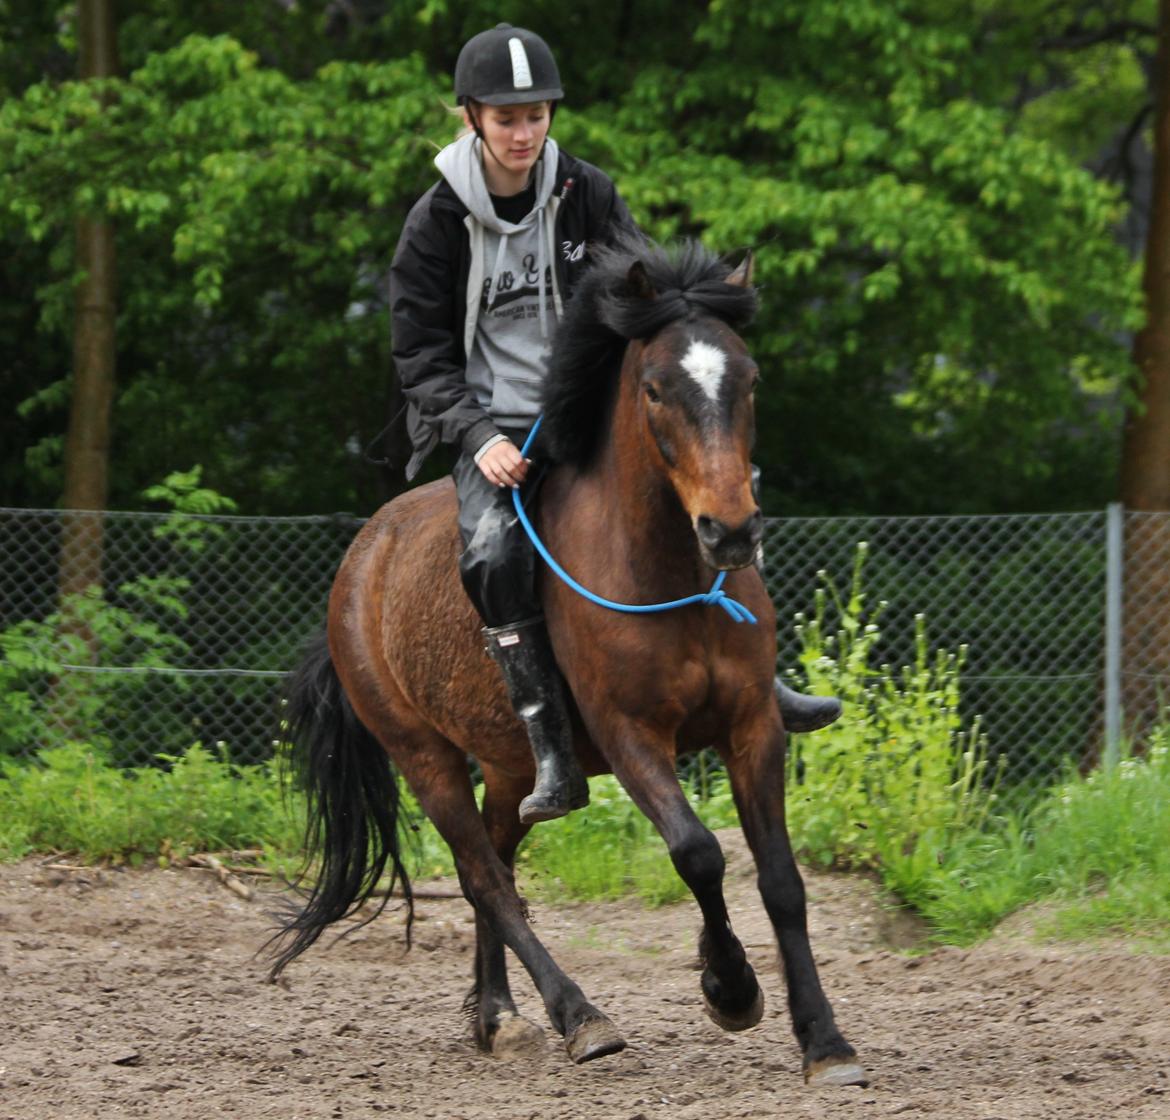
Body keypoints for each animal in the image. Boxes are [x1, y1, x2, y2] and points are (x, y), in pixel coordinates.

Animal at [269, 238, 865, 1086]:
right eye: (655, 389)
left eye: (749, 380)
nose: (730, 531)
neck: (666, 575)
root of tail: (361, 562)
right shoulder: (632, 738)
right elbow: (697, 853)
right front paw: (729, 987)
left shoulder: (752, 726)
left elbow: (780, 880)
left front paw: (824, 1041)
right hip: (423, 757)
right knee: (485, 877)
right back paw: (579, 1017)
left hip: (512, 767)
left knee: (495, 865)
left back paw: (498, 1017)